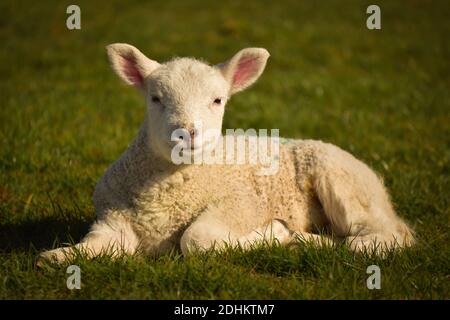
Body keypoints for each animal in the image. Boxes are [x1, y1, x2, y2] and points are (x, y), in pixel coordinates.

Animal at [38, 43, 414, 264]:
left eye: (218, 100)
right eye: (155, 98)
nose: (187, 132)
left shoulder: (240, 205)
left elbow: (196, 239)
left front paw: (273, 233)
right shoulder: (113, 221)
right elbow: (87, 247)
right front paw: (58, 256)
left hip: (343, 183)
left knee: (387, 235)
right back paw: (307, 242)